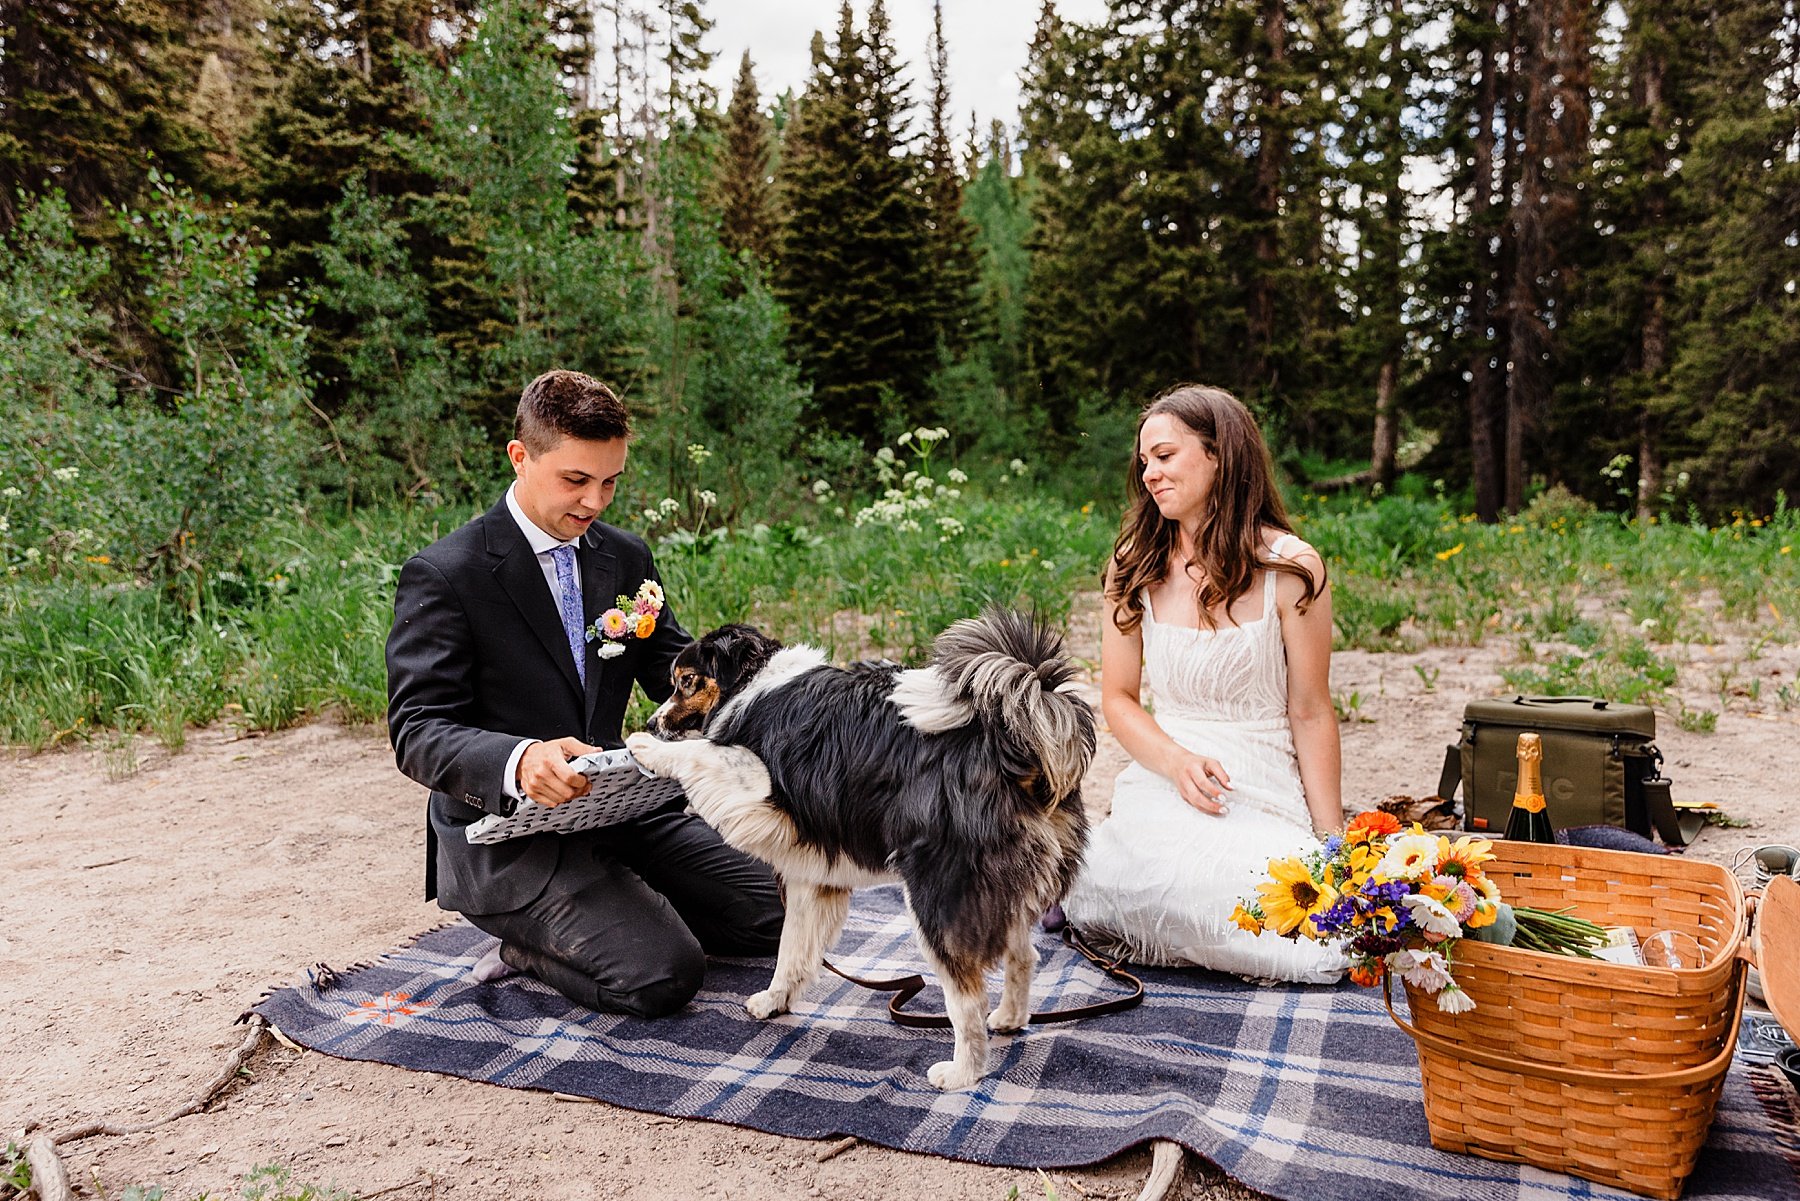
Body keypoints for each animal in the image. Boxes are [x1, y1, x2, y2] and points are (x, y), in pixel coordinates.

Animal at [626, 612, 1087, 1087]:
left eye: (685, 681)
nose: (652, 724)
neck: (752, 682)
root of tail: (1014, 748)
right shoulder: (811, 874)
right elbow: (792, 948)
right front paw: (775, 1000)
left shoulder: (755, 787)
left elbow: (698, 752)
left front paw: (647, 747)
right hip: (1001, 894)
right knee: (1025, 956)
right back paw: (1010, 1020)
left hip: (938, 895)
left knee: (968, 995)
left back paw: (962, 1073)